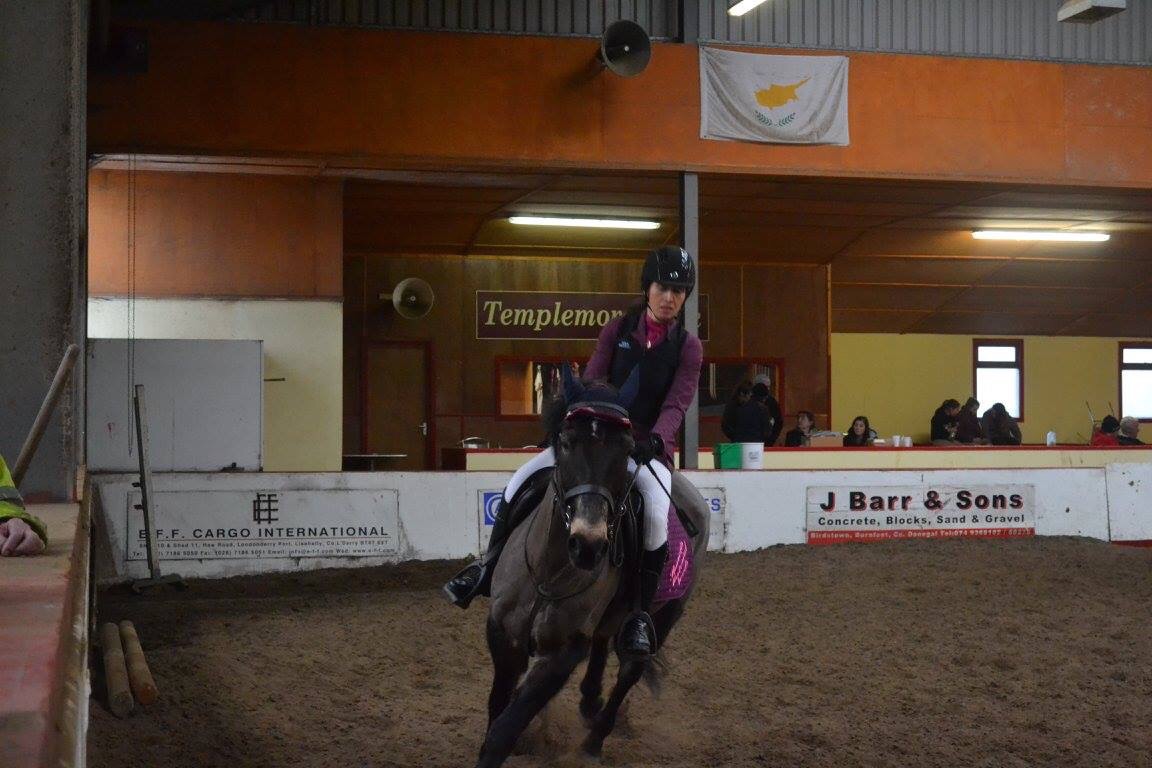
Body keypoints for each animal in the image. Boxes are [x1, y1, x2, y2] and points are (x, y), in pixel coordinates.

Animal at [474, 374, 710, 768]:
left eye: (627, 448)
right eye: (567, 443)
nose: (588, 544)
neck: (547, 573)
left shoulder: (564, 651)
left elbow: (505, 728)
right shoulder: (503, 632)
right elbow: (497, 708)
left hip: (665, 613)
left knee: (629, 671)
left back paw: (594, 740)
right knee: (602, 642)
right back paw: (589, 700)